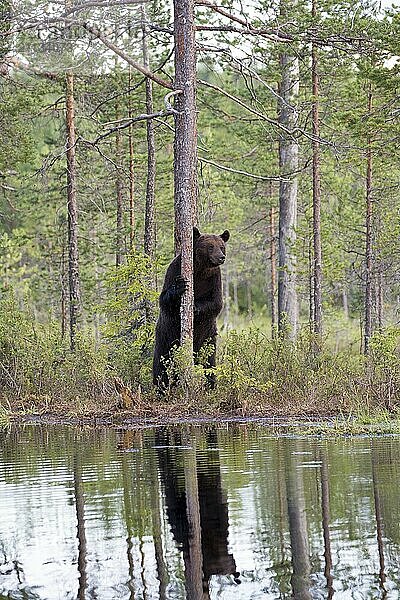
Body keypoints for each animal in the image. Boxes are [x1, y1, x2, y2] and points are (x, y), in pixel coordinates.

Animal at [152, 227, 230, 392]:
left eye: (222, 246)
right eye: (210, 246)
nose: (221, 257)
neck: (200, 270)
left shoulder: (214, 279)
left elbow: (216, 304)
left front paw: (195, 307)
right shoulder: (174, 269)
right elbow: (164, 299)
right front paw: (180, 287)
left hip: (208, 337)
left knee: (210, 363)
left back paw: (210, 387)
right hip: (166, 335)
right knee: (161, 363)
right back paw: (160, 388)